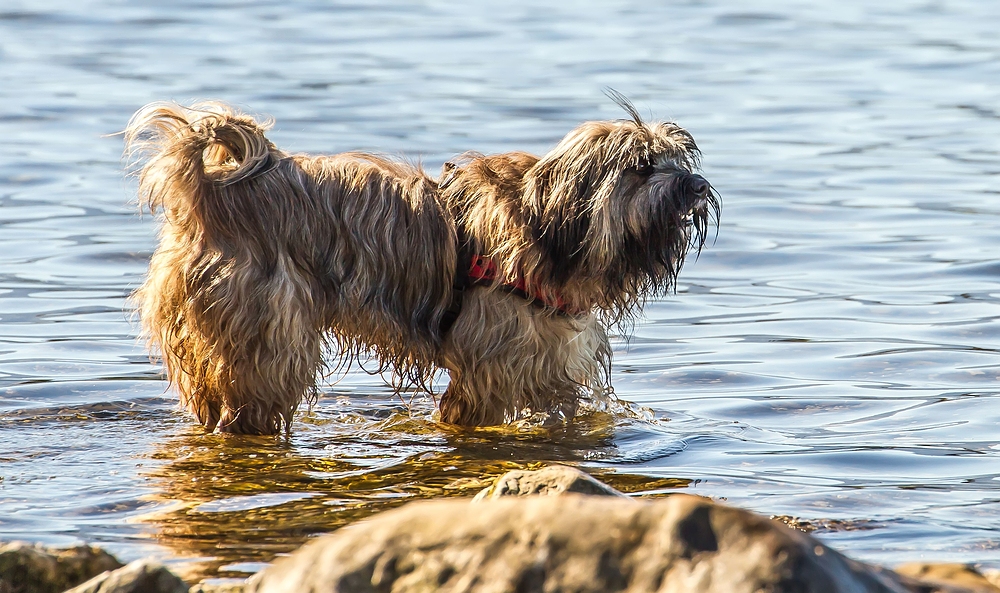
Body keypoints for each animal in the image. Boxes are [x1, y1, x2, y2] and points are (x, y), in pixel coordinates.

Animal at [127, 95, 720, 432]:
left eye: (676, 158)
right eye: (642, 166)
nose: (697, 185)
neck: (549, 227)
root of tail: (211, 194)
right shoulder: (495, 362)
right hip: (267, 335)